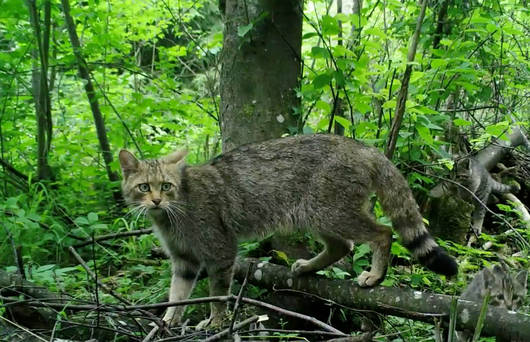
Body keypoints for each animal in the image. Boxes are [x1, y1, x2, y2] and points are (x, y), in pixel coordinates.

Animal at [117, 134, 456, 328]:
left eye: (166, 186)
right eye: (144, 187)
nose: (156, 200)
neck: (171, 215)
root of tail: (362, 146)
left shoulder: (221, 249)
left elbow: (217, 294)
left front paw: (215, 322)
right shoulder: (183, 260)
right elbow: (177, 294)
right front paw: (168, 321)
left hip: (330, 210)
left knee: (382, 232)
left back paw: (375, 273)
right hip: (317, 214)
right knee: (342, 246)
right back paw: (309, 266)